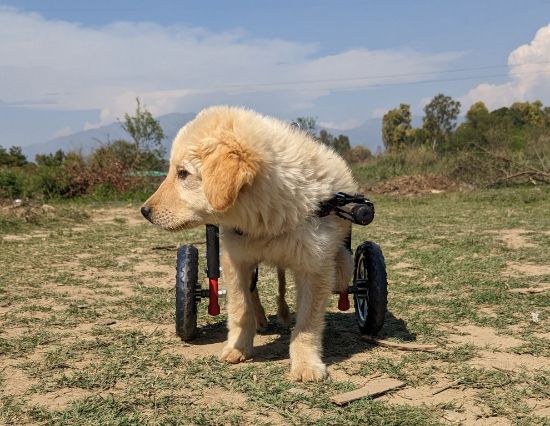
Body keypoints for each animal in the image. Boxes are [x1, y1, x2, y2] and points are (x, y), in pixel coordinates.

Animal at [143, 106, 358, 382]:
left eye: (183, 173)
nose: (144, 211)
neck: (268, 221)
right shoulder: (235, 260)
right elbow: (240, 308)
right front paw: (238, 348)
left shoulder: (314, 267)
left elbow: (307, 323)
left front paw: (306, 364)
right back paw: (261, 319)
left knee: (343, 271)